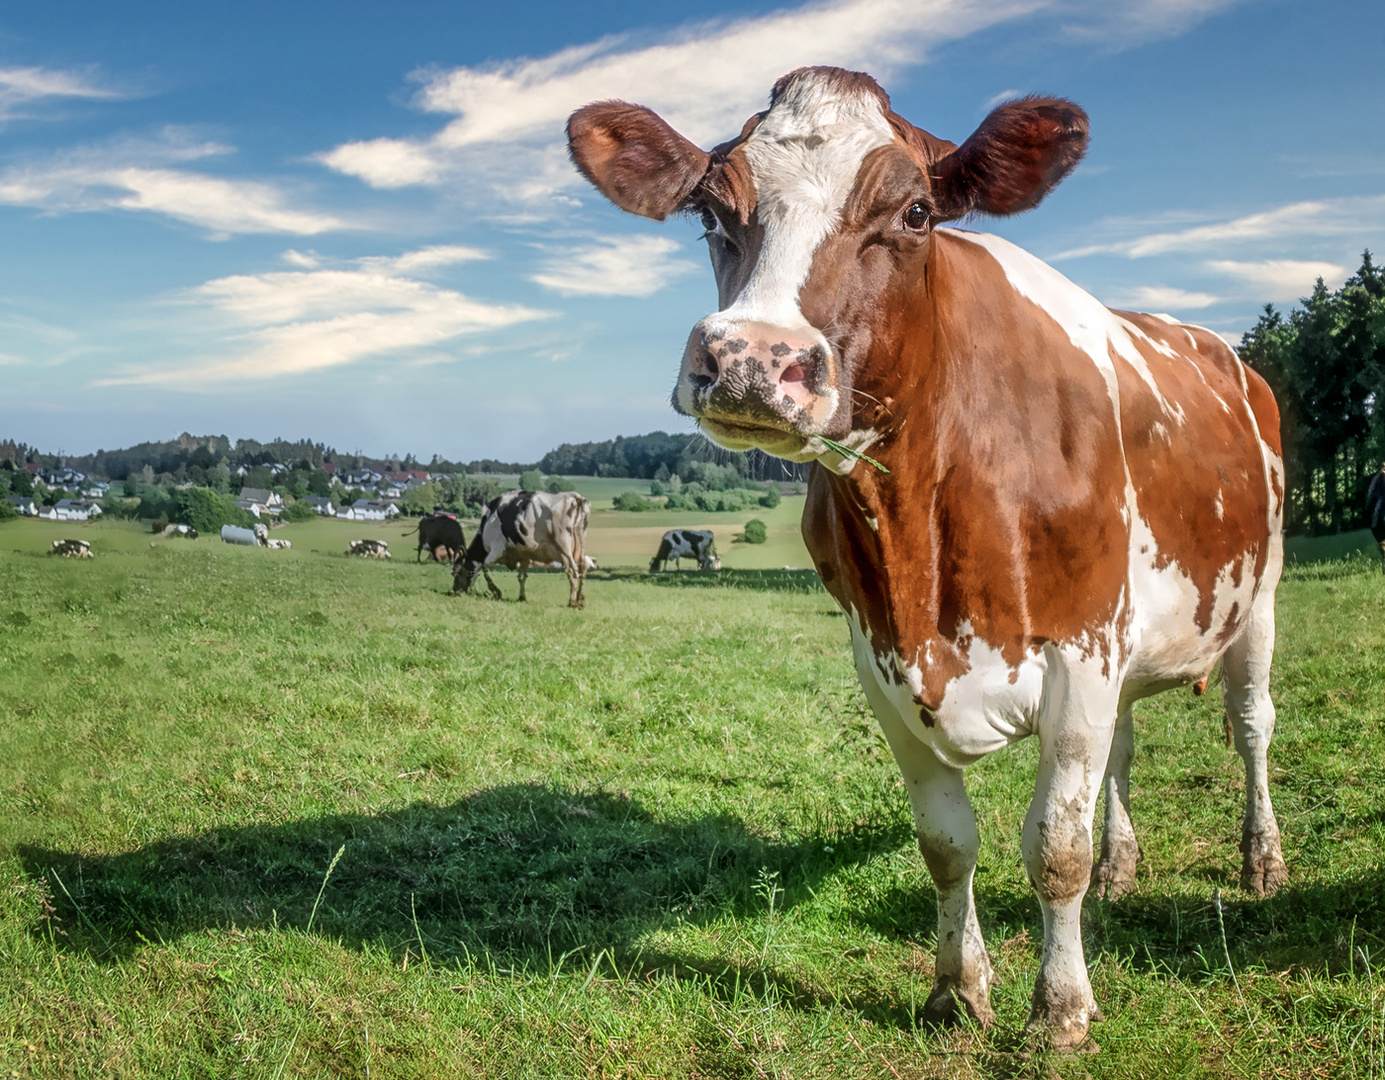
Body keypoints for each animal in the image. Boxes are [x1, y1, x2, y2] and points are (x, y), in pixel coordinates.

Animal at [448, 490, 590, 606]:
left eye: (456, 571)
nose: (454, 591)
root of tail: (574, 496)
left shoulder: (497, 549)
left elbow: (484, 567)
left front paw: (496, 592)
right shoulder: (524, 555)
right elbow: (522, 576)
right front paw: (522, 597)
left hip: (564, 547)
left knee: (572, 570)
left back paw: (573, 601)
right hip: (580, 545)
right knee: (583, 567)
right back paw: (581, 599)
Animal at [570, 65, 1285, 1046]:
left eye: (914, 213)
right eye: (711, 212)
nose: (753, 359)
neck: (923, 534)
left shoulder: (1083, 648)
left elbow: (1053, 847)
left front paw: (1059, 1009)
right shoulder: (879, 660)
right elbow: (947, 844)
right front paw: (957, 990)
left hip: (1260, 592)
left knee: (1250, 726)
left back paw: (1261, 861)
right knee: (1126, 752)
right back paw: (1123, 865)